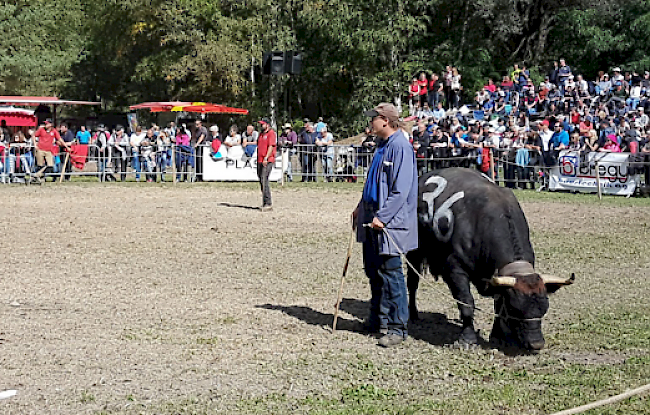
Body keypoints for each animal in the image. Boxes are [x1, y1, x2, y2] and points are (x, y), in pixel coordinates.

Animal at [404, 167, 572, 352]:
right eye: (514, 308)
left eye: (544, 309)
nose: (536, 343)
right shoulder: (455, 269)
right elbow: (466, 303)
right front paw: (467, 338)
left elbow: (498, 304)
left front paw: (497, 335)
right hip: (414, 253)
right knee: (412, 283)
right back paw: (413, 313)